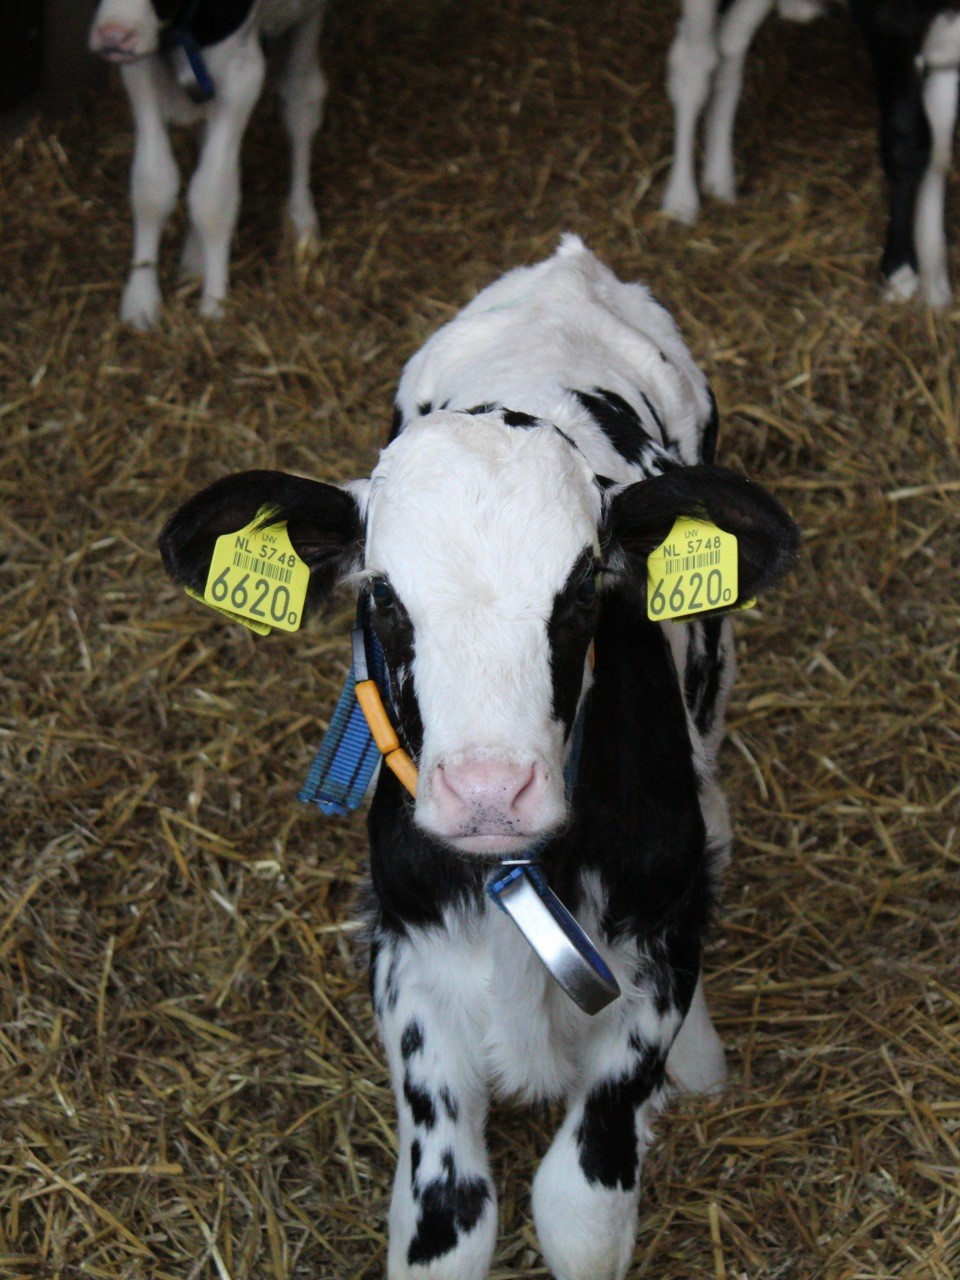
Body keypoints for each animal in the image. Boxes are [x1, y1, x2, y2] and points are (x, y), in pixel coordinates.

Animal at [90, 2, 330, 330]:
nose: (114, 36)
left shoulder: (243, 71)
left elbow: (212, 196)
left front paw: (214, 303)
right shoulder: (140, 67)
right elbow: (153, 182)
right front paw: (141, 297)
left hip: (307, 15)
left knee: (301, 99)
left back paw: (301, 219)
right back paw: (195, 255)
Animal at [160, 240, 803, 1280]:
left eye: (582, 591)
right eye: (382, 596)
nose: (488, 791)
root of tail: (567, 266)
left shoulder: (654, 941)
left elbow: (581, 1207)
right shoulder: (409, 957)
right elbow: (448, 1219)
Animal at [665, 0, 960, 304]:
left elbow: (938, 151)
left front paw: (935, 282)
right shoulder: (890, 22)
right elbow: (906, 143)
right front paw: (899, 272)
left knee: (731, 45)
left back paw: (719, 180)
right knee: (693, 62)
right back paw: (680, 201)